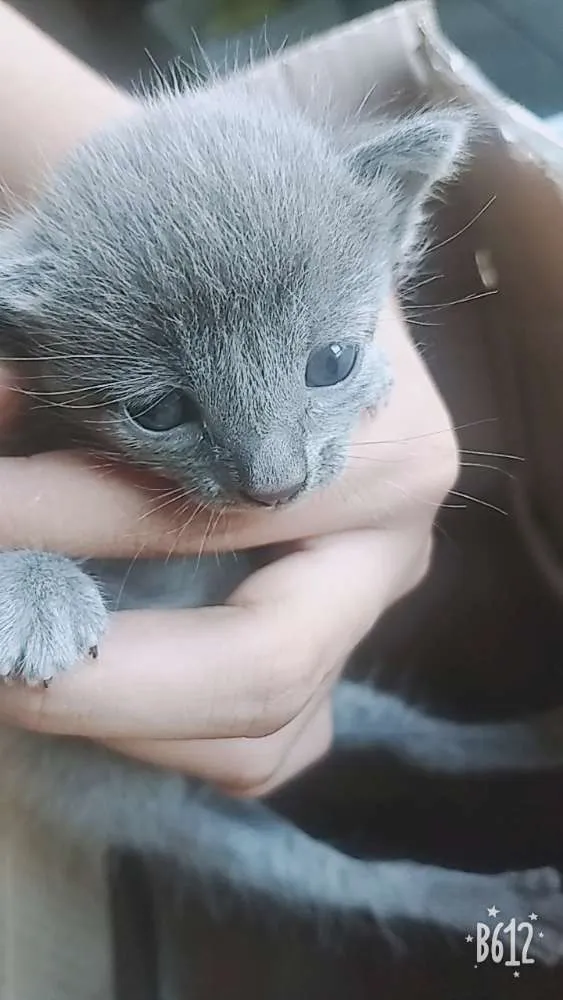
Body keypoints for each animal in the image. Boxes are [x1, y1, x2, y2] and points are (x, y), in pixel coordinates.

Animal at [1, 76, 563, 952]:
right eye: (158, 411)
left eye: (330, 361)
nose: (275, 483)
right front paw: (37, 593)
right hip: (187, 819)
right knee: (349, 878)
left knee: (400, 737)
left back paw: (527, 744)